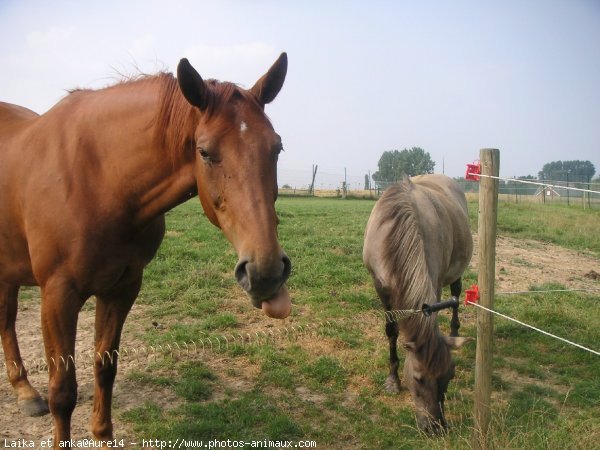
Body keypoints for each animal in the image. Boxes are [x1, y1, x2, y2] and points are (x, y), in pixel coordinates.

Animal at [0, 52, 290, 446]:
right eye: (205, 152)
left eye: (276, 148)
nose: (266, 272)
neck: (98, 179)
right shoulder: (58, 294)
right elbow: (62, 391)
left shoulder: (122, 288)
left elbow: (105, 367)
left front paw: (103, 438)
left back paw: (25, 392)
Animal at [360, 174, 474, 434]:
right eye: (419, 378)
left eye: (450, 376)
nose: (436, 427)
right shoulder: (381, 288)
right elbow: (391, 331)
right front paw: (392, 380)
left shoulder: (436, 282)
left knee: (455, 296)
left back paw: (455, 331)